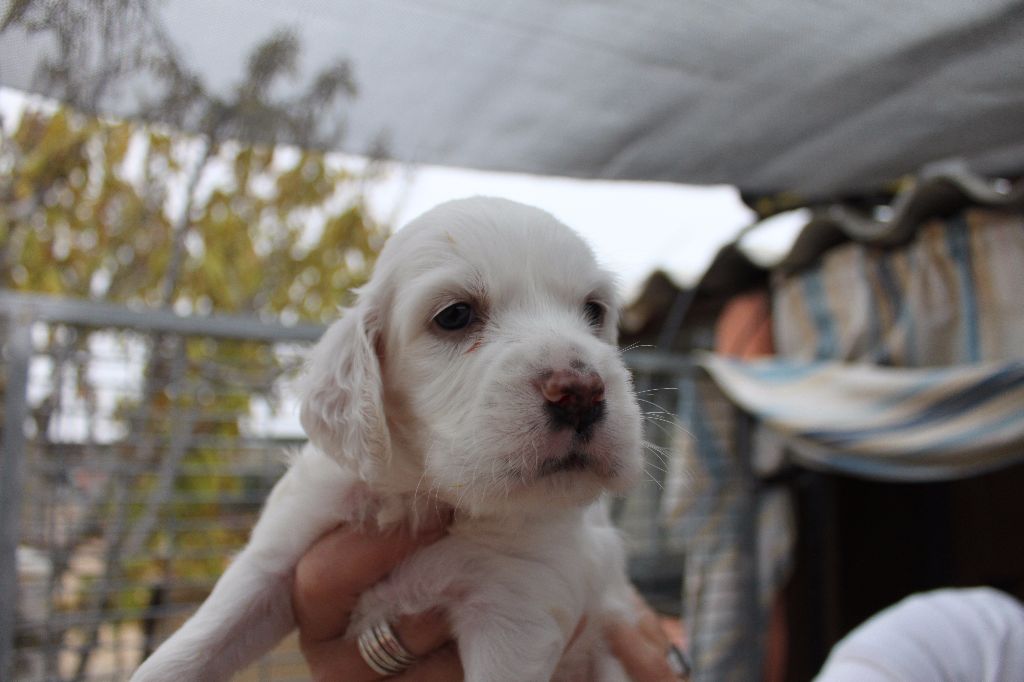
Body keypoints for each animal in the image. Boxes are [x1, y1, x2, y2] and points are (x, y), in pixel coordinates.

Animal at [132, 197, 645, 681]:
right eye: (455, 315)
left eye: (593, 311)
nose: (582, 391)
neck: (420, 492)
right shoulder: (278, 553)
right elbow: (187, 651)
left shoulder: (517, 609)